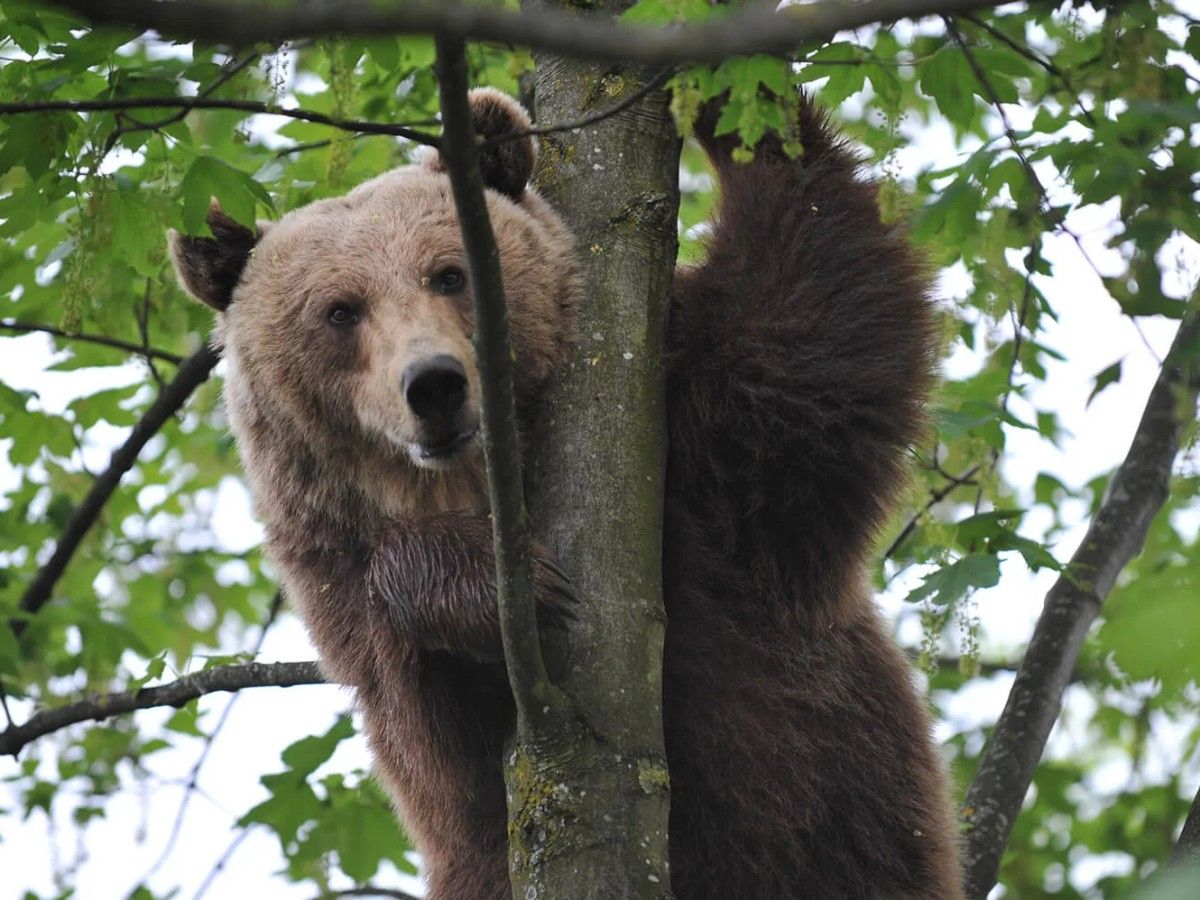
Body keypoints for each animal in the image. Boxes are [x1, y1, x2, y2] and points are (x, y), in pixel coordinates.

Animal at [170, 87, 963, 899]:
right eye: (339, 310)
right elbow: (429, 721)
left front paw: (727, 101)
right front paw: (505, 579)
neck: (470, 480)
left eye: (449, 273)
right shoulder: (337, 585)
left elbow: (807, 344)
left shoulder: (700, 457)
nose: (434, 385)